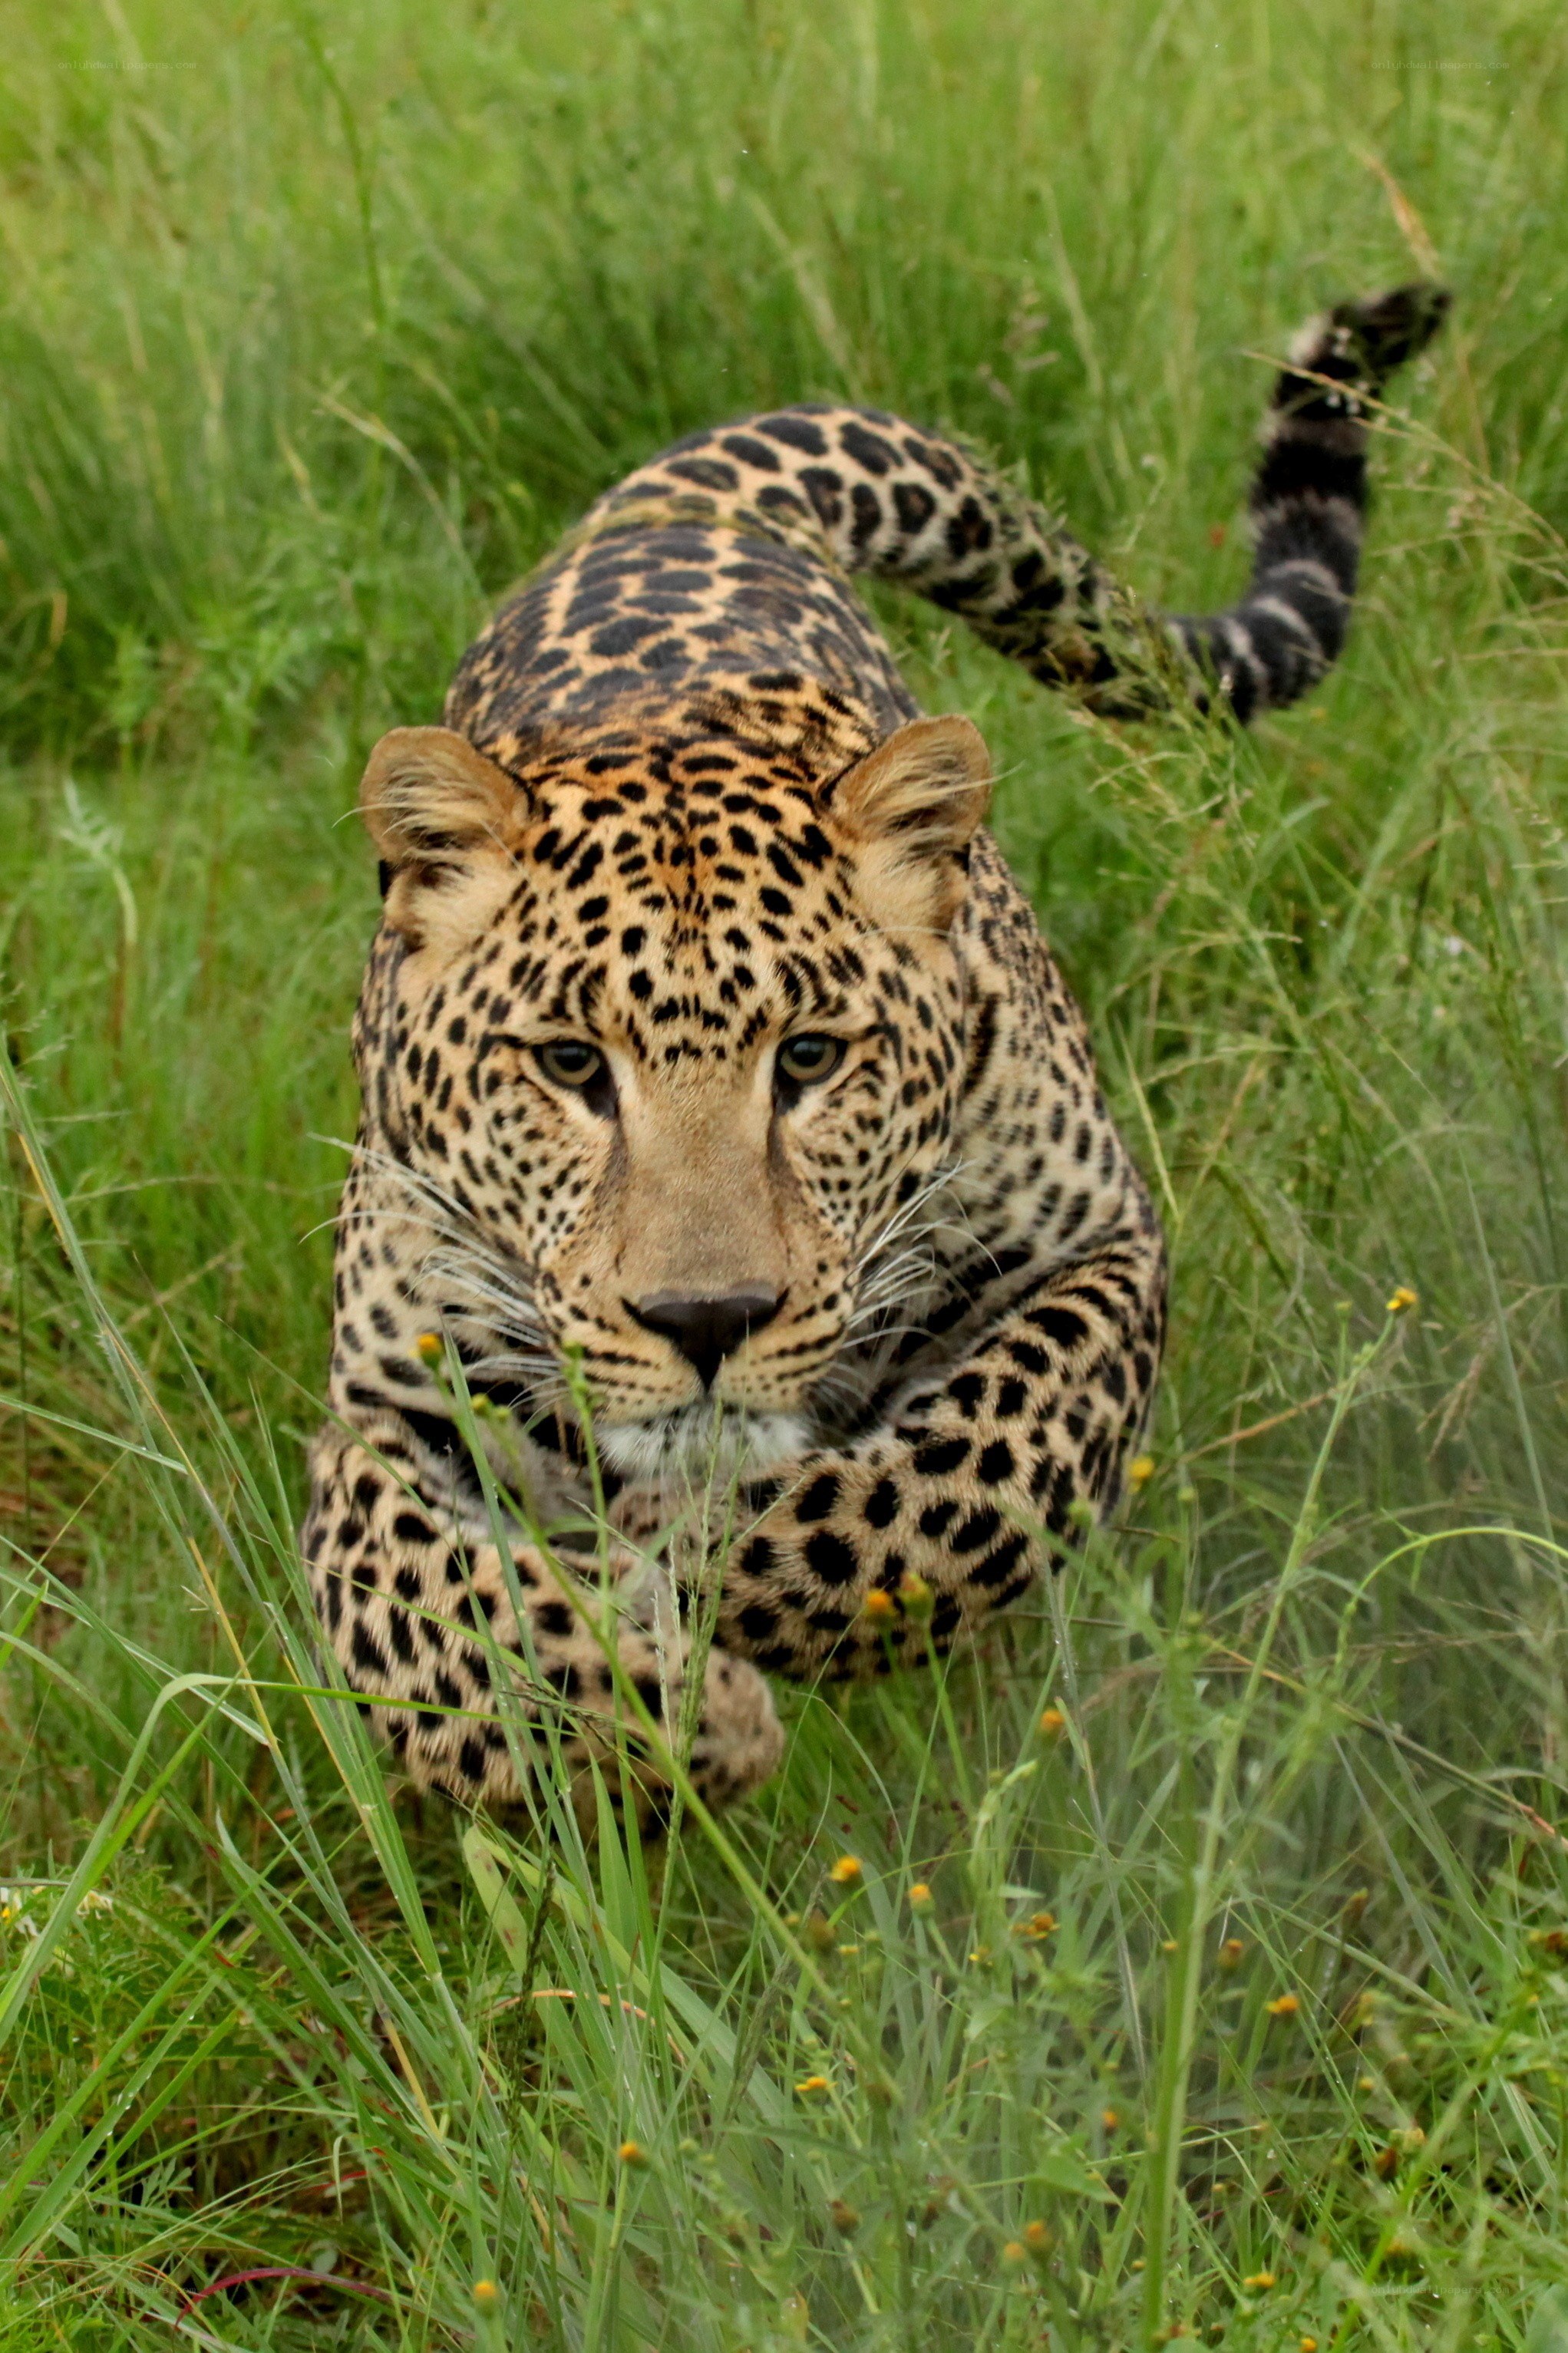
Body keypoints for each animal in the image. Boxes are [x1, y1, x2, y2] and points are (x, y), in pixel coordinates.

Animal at [302, 282, 1447, 1826]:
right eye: (568, 1067)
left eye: (809, 1060)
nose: (706, 1318)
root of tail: (672, 511)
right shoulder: (379, 1413)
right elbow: (410, 1619)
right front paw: (674, 1712)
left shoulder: (1099, 1252)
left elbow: (948, 1483)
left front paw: (693, 1580)